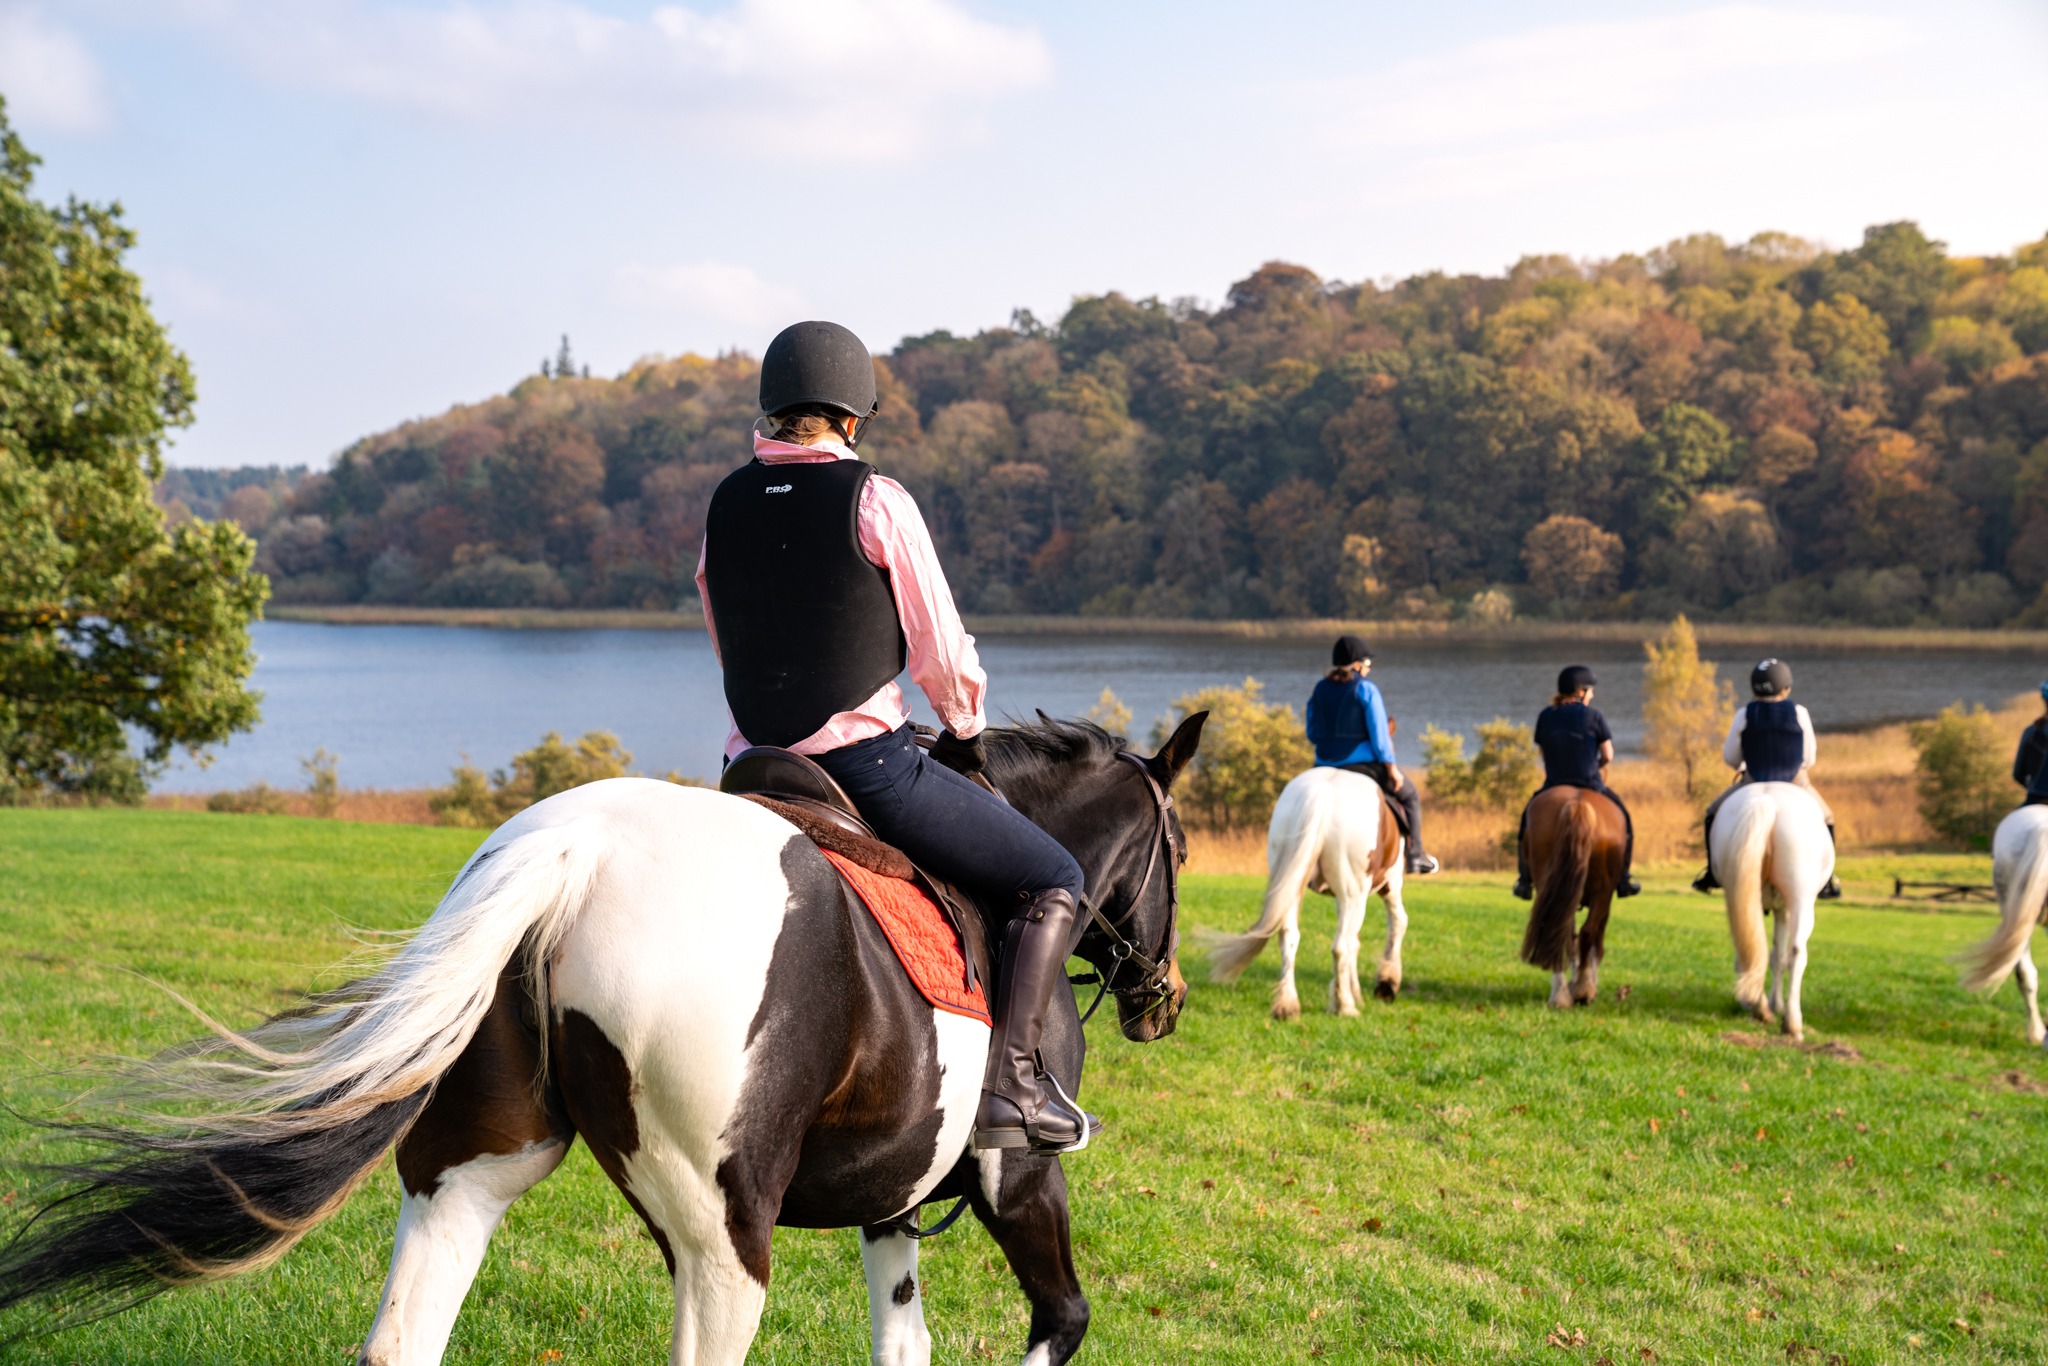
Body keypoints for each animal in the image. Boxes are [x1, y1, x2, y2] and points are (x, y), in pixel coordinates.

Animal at [0, 715, 1205, 1366]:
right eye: (1180, 849)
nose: (1165, 1000)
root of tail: (579, 847)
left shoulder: (895, 1203)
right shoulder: (1019, 1177)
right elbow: (1062, 1317)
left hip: (472, 1171)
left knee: (404, 1335)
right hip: (720, 1239)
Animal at [1206, 766, 1407, 1018]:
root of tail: (1320, 794)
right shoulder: (1390, 885)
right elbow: (1397, 923)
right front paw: (1386, 983)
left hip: (1293, 885)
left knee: (1289, 938)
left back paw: (1287, 1005)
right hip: (1354, 894)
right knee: (1340, 946)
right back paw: (1344, 1006)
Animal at [1518, 785, 1629, 1009]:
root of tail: (1578, 802)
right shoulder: (1605, 901)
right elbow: (1595, 943)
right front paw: (1587, 985)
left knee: (1560, 932)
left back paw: (1560, 995)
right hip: (1602, 893)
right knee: (1584, 933)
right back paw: (1579, 991)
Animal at [1711, 779, 1835, 1041]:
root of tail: (1766, 801)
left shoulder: (1777, 909)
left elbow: (1774, 955)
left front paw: (1771, 1003)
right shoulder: (1785, 910)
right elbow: (1781, 956)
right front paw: (1778, 1005)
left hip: (1742, 895)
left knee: (1748, 947)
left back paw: (1757, 1006)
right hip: (1801, 901)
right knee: (1797, 953)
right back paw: (1792, 1023)